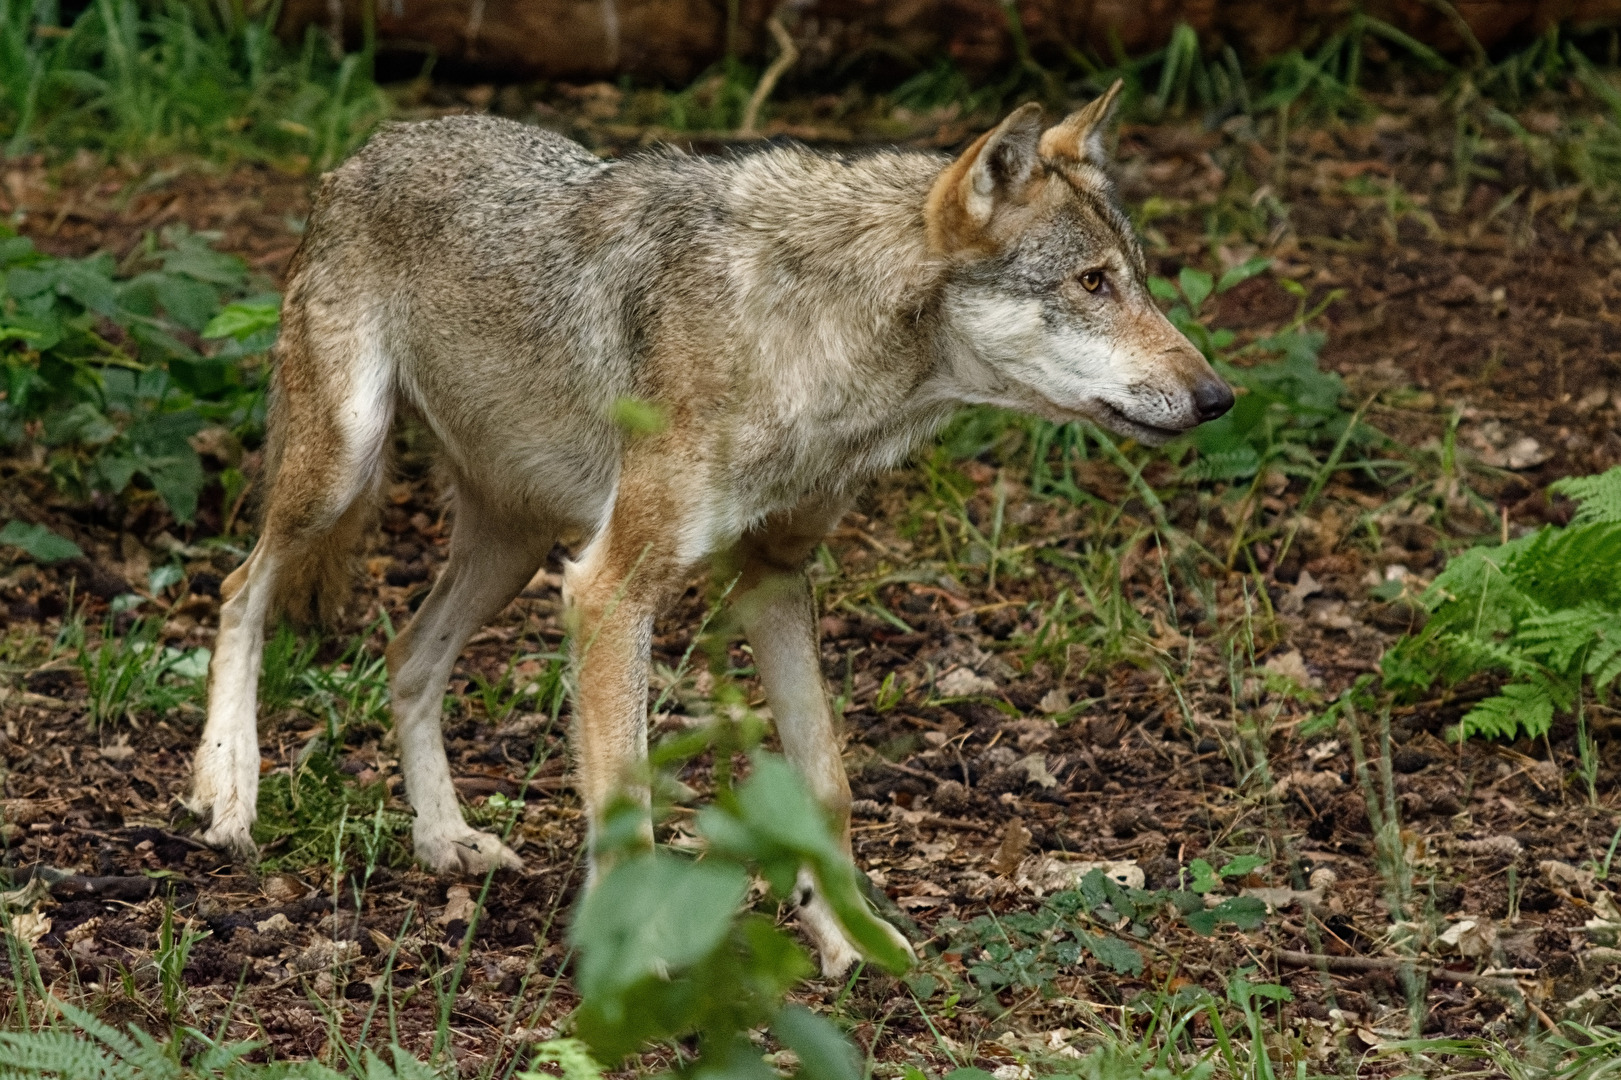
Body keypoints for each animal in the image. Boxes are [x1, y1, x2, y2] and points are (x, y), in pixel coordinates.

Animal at [186, 81, 1233, 975]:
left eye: (1137, 279)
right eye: (1091, 283)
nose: (1218, 398)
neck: (809, 339)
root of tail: (371, 147)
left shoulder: (771, 573)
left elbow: (826, 782)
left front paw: (846, 934)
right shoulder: (610, 588)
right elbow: (627, 798)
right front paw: (630, 967)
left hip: (515, 548)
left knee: (406, 653)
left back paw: (444, 839)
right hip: (343, 472)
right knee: (242, 589)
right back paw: (228, 788)